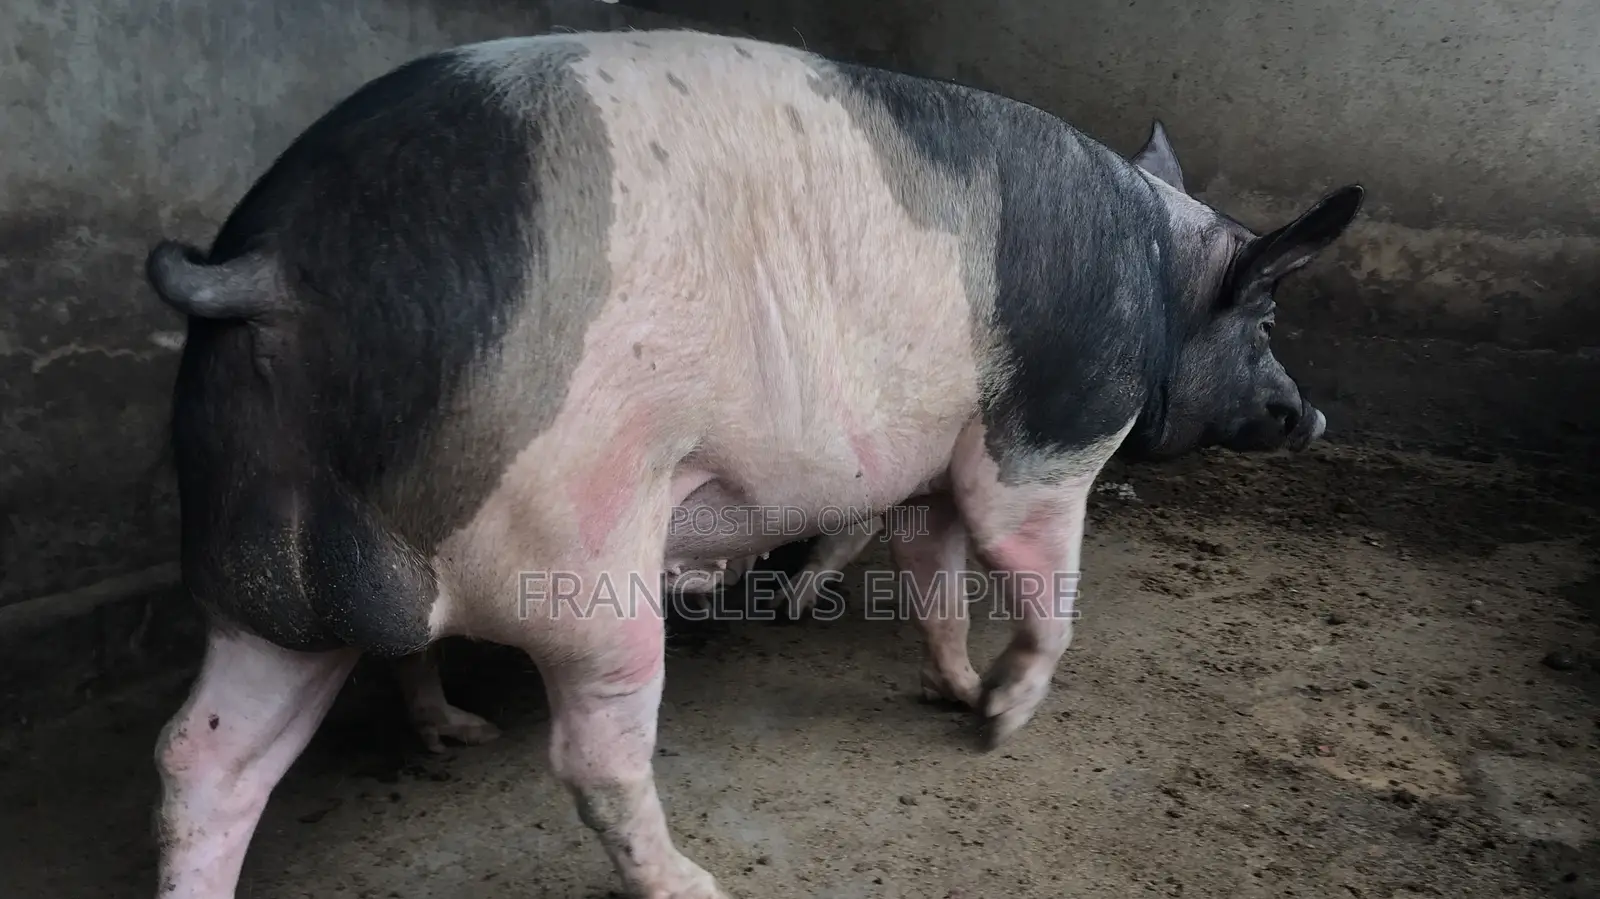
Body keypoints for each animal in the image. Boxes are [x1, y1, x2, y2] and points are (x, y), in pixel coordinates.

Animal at [144, 29, 1359, 899]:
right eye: (1265, 313)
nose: (1310, 413)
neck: (1160, 281)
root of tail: (272, 268)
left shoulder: (928, 468)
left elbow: (935, 581)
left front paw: (954, 692)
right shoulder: (1046, 441)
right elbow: (1037, 577)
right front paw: (1002, 721)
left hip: (268, 574)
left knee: (200, 756)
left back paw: (442, 743)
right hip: (576, 552)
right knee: (591, 755)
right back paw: (696, 883)